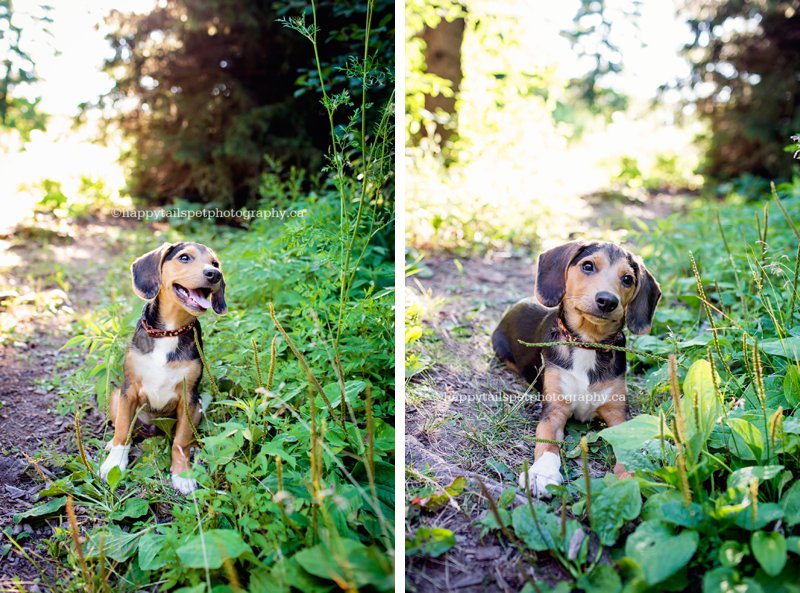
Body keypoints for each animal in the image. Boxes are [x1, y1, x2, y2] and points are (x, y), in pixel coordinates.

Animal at [100, 240, 227, 494]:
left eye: (215, 263)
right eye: (184, 258)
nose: (215, 274)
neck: (170, 331)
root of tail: (154, 429)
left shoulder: (188, 397)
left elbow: (180, 441)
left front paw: (182, 474)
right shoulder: (129, 391)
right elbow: (122, 430)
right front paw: (114, 464)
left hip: (199, 404)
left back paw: (195, 446)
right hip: (117, 396)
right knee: (126, 429)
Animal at [494, 239, 664, 494]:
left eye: (627, 279)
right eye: (588, 266)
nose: (607, 301)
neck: (587, 344)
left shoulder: (617, 411)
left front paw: (630, 476)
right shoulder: (555, 408)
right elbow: (546, 441)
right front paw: (541, 473)